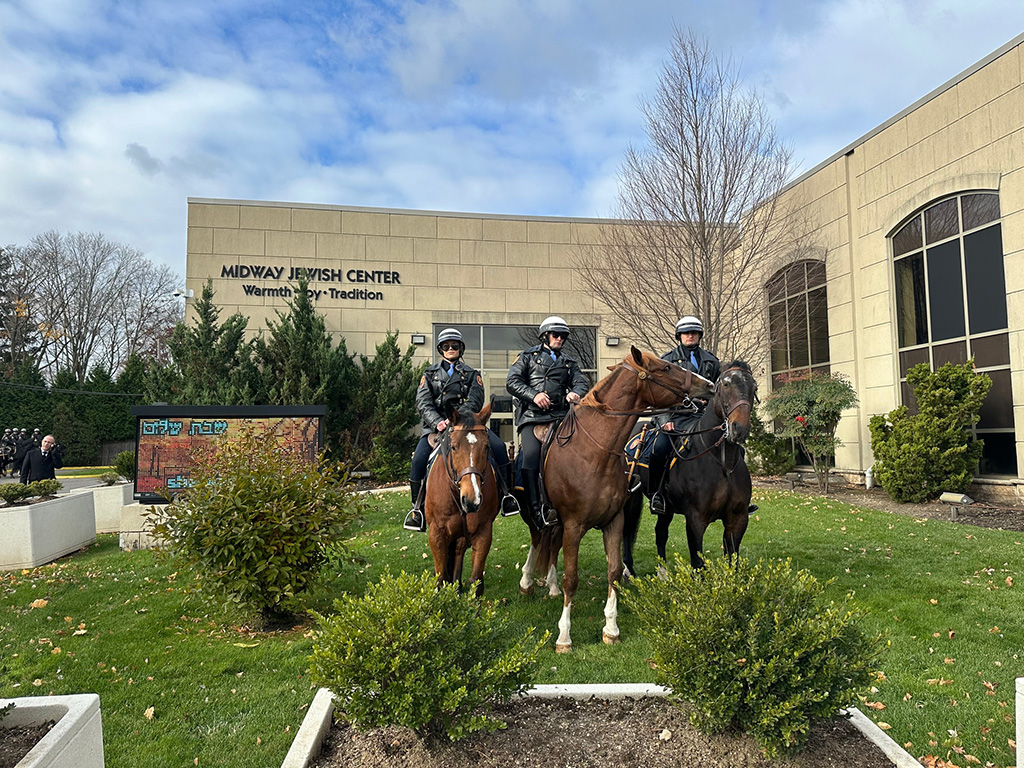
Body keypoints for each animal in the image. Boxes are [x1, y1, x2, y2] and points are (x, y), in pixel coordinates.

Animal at [423, 403, 499, 602]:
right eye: (454, 447)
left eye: (486, 447)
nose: (472, 500)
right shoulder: (436, 534)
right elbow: (441, 580)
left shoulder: (483, 532)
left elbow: (476, 583)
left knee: (458, 553)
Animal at [516, 346, 708, 651]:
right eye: (667, 368)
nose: (709, 385)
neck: (595, 452)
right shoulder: (574, 526)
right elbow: (572, 579)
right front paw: (564, 636)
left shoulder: (613, 522)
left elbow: (615, 572)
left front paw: (611, 629)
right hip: (536, 515)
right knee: (537, 541)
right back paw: (527, 582)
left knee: (552, 545)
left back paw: (551, 585)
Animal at [618, 358, 757, 573]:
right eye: (726, 384)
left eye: (754, 387)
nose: (739, 428)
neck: (722, 463)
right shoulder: (695, 519)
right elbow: (698, 564)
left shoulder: (738, 519)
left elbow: (732, 563)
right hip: (630, 497)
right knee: (627, 530)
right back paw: (628, 570)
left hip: (665, 507)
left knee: (660, 532)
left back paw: (663, 572)